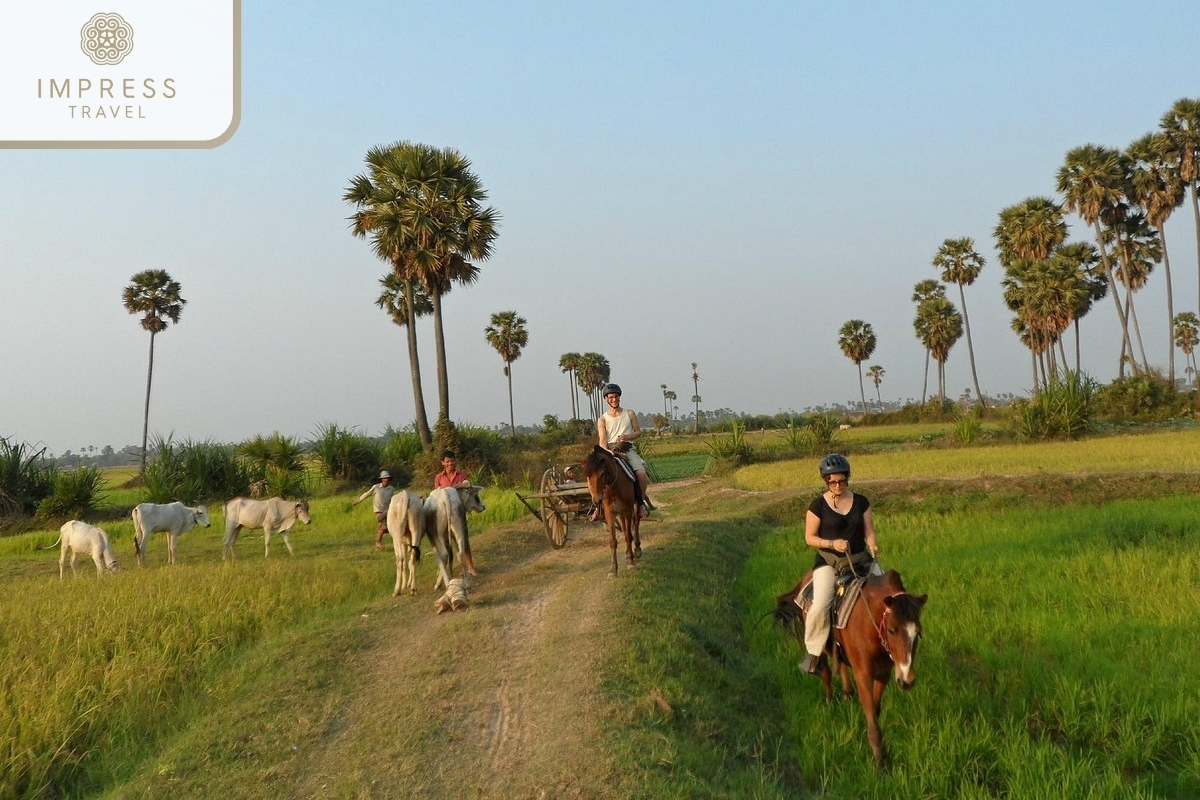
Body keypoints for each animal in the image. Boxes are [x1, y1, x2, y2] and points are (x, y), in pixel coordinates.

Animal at [583, 443, 643, 575]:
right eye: (588, 475)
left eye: (602, 474)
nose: (596, 500)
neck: (614, 488)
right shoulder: (610, 513)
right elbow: (613, 540)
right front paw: (613, 569)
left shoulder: (628, 510)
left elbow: (628, 536)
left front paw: (631, 563)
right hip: (620, 513)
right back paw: (627, 554)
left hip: (634, 507)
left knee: (636, 522)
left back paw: (637, 549)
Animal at [772, 566, 931, 772]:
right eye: (892, 630)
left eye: (918, 632)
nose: (907, 681)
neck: (871, 624)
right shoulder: (863, 675)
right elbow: (872, 719)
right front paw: (880, 765)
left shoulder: (884, 674)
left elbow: (875, 710)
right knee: (825, 671)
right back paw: (829, 701)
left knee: (840, 664)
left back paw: (847, 693)